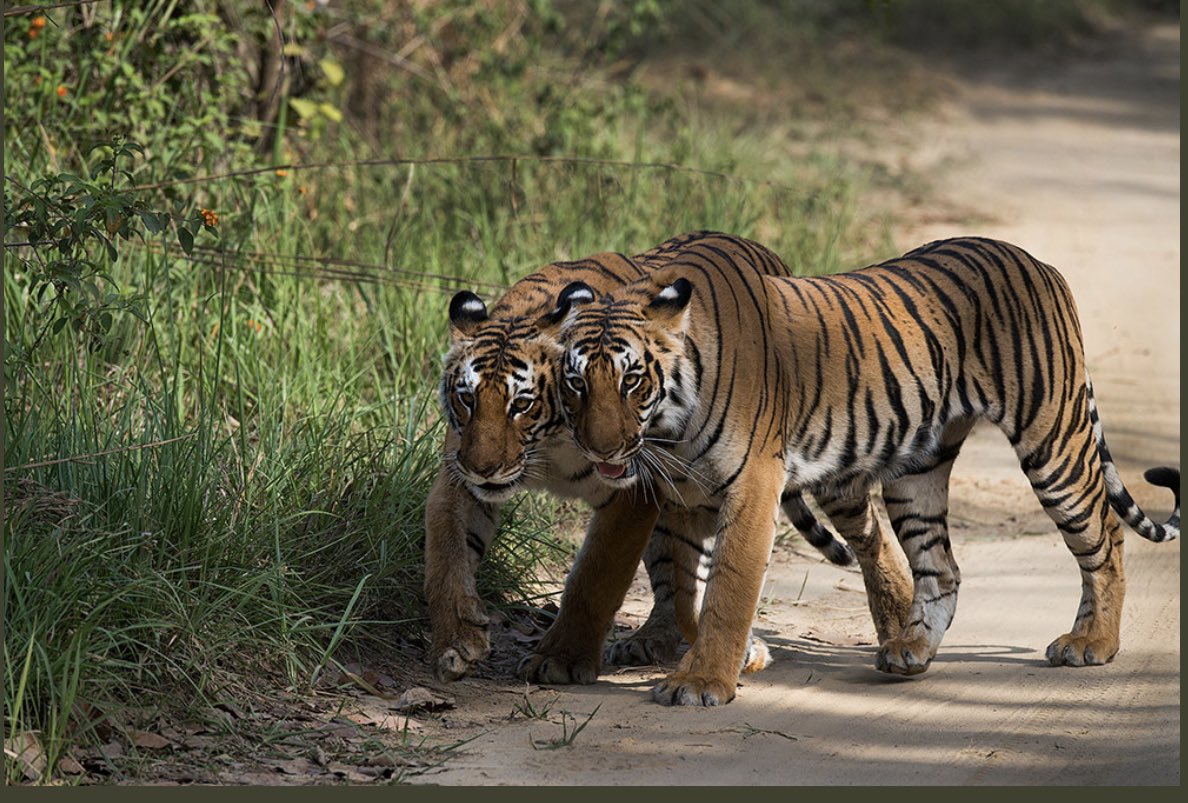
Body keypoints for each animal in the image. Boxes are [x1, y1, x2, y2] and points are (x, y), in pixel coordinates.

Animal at [422, 231, 860, 684]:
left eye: (521, 404)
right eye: (467, 399)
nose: (483, 469)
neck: (547, 447)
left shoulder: (632, 490)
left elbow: (596, 575)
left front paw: (560, 658)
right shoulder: (458, 476)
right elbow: (445, 552)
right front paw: (457, 640)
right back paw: (651, 640)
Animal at [525, 229, 1183, 707]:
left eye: (632, 380)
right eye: (577, 384)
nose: (601, 451)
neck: (669, 425)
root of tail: (1036, 260)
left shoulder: (752, 486)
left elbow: (727, 590)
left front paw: (702, 682)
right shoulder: (688, 492)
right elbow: (682, 577)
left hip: (1052, 439)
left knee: (1105, 535)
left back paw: (1092, 642)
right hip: (918, 473)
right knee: (940, 566)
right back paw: (911, 649)